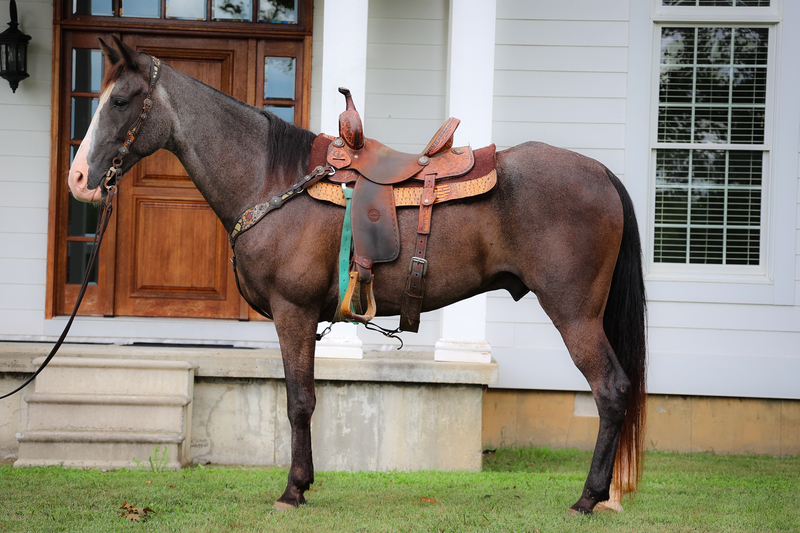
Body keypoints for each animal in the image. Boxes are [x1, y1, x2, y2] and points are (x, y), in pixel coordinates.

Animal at [65, 36, 648, 512]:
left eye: (121, 101)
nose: (78, 178)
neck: (272, 180)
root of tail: (601, 171)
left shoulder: (294, 313)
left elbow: (299, 401)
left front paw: (294, 488)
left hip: (574, 313)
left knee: (611, 390)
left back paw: (589, 497)